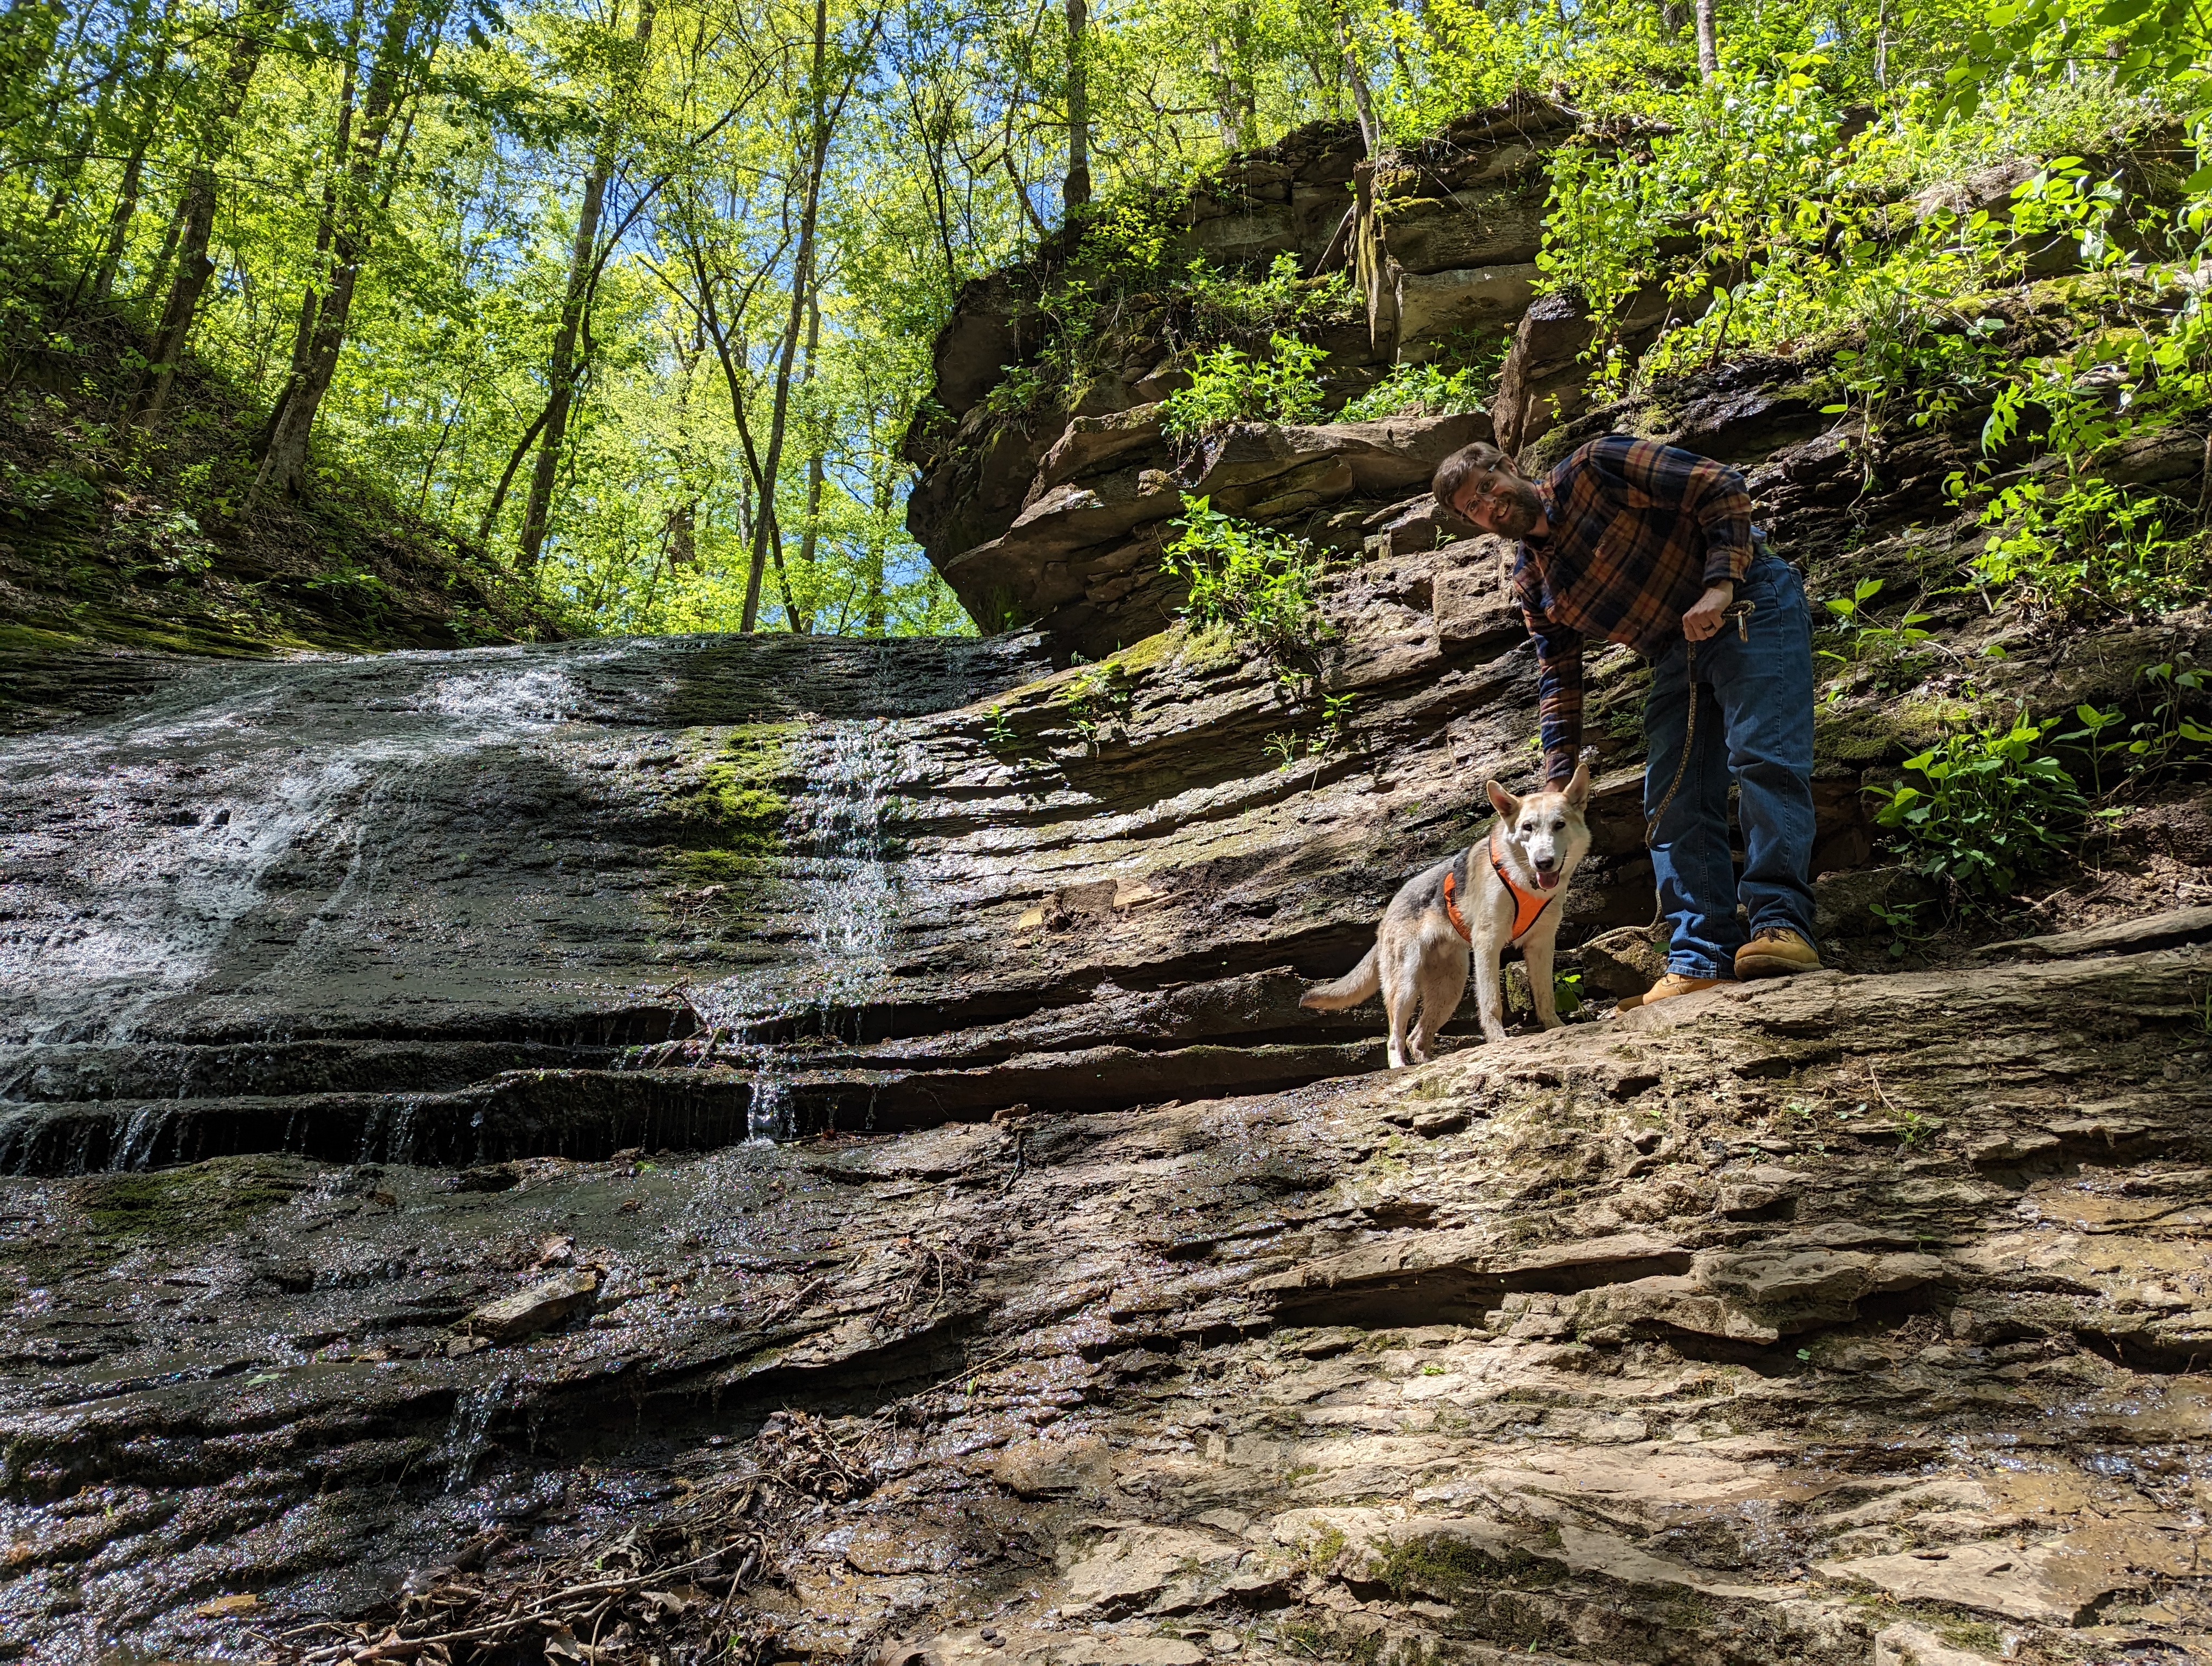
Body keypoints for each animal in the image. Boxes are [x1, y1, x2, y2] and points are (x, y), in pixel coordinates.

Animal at [1291, 765, 1592, 1066]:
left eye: (1559, 825)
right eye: (1528, 828)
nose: (1544, 862)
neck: (1524, 881)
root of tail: (1389, 910)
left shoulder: (1541, 945)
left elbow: (1546, 996)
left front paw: (1555, 1028)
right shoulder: (1489, 944)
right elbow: (1492, 1003)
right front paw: (1498, 1041)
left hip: (1450, 989)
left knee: (1417, 1037)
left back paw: (1426, 1062)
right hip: (1407, 987)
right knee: (1395, 1038)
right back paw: (1401, 1068)